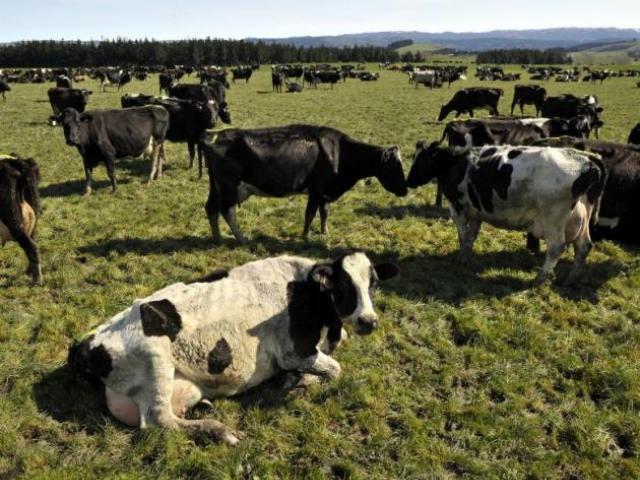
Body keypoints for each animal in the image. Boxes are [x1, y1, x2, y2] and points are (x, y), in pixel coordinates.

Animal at [67, 252, 399, 444]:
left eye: (373, 283)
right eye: (343, 286)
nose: (369, 321)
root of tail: (84, 343)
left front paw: (296, 380)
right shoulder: (293, 352)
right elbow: (334, 370)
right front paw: (300, 382)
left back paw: (205, 408)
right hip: (155, 360)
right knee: (159, 421)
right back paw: (220, 431)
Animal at [199, 125, 408, 243]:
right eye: (394, 166)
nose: (405, 190)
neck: (339, 153)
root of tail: (213, 135)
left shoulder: (325, 193)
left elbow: (324, 213)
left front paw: (324, 232)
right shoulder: (316, 190)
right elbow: (310, 214)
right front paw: (306, 236)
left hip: (216, 186)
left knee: (211, 208)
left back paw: (217, 238)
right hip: (229, 186)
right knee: (227, 211)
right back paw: (241, 238)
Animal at [406, 143, 606, 284]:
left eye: (421, 159)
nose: (408, 181)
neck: (456, 162)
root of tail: (586, 158)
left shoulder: (458, 207)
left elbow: (462, 235)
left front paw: (461, 258)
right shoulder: (477, 212)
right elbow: (471, 236)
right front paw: (467, 255)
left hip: (554, 218)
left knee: (557, 248)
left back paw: (540, 279)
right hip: (580, 218)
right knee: (583, 246)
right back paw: (572, 279)